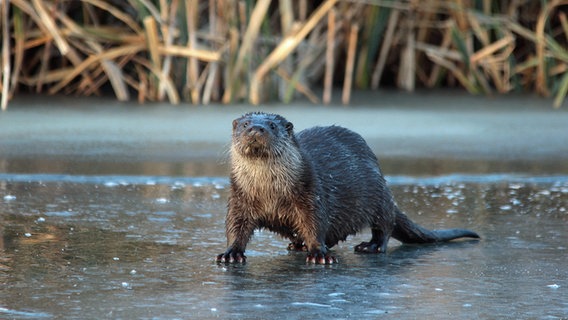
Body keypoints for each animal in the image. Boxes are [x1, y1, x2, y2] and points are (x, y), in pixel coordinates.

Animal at [215, 111, 478, 264]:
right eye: (245, 124)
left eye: (271, 125)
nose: (255, 129)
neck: (270, 191)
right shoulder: (239, 197)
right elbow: (236, 226)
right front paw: (231, 253)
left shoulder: (310, 193)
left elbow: (315, 224)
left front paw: (318, 254)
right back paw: (297, 244)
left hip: (378, 195)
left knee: (385, 225)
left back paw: (370, 246)